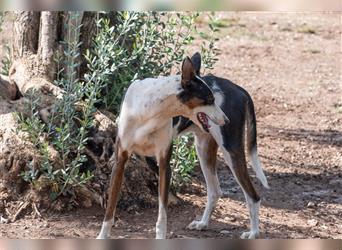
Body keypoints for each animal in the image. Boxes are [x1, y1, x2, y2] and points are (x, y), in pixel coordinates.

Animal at [97, 52, 270, 238]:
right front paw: (102, 235)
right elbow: (110, 207)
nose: (227, 120)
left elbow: (162, 214)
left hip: (231, 151)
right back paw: (203, 224)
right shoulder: (120, 161)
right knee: (215, 191)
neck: (149, 113)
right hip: (203, 150)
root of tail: (238, 88)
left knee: (253, 196)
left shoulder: (164, 163)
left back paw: (253, 233)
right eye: (209, 99)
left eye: (214, 99)